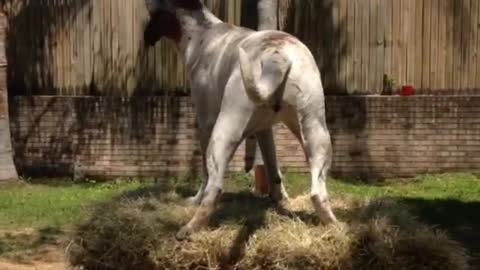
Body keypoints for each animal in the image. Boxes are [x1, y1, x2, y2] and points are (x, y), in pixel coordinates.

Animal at [144, 0, 336, 240]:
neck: (201, 31)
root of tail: (277, 56)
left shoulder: (205, 124)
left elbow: (204, 174)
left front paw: (195, 199)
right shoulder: (264, 131)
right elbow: (273, 168)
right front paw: (279, 198)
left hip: (223, 133)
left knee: (215, 187)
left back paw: (189, 228)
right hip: (317, 134)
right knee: (318, 192)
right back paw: (334, 225)